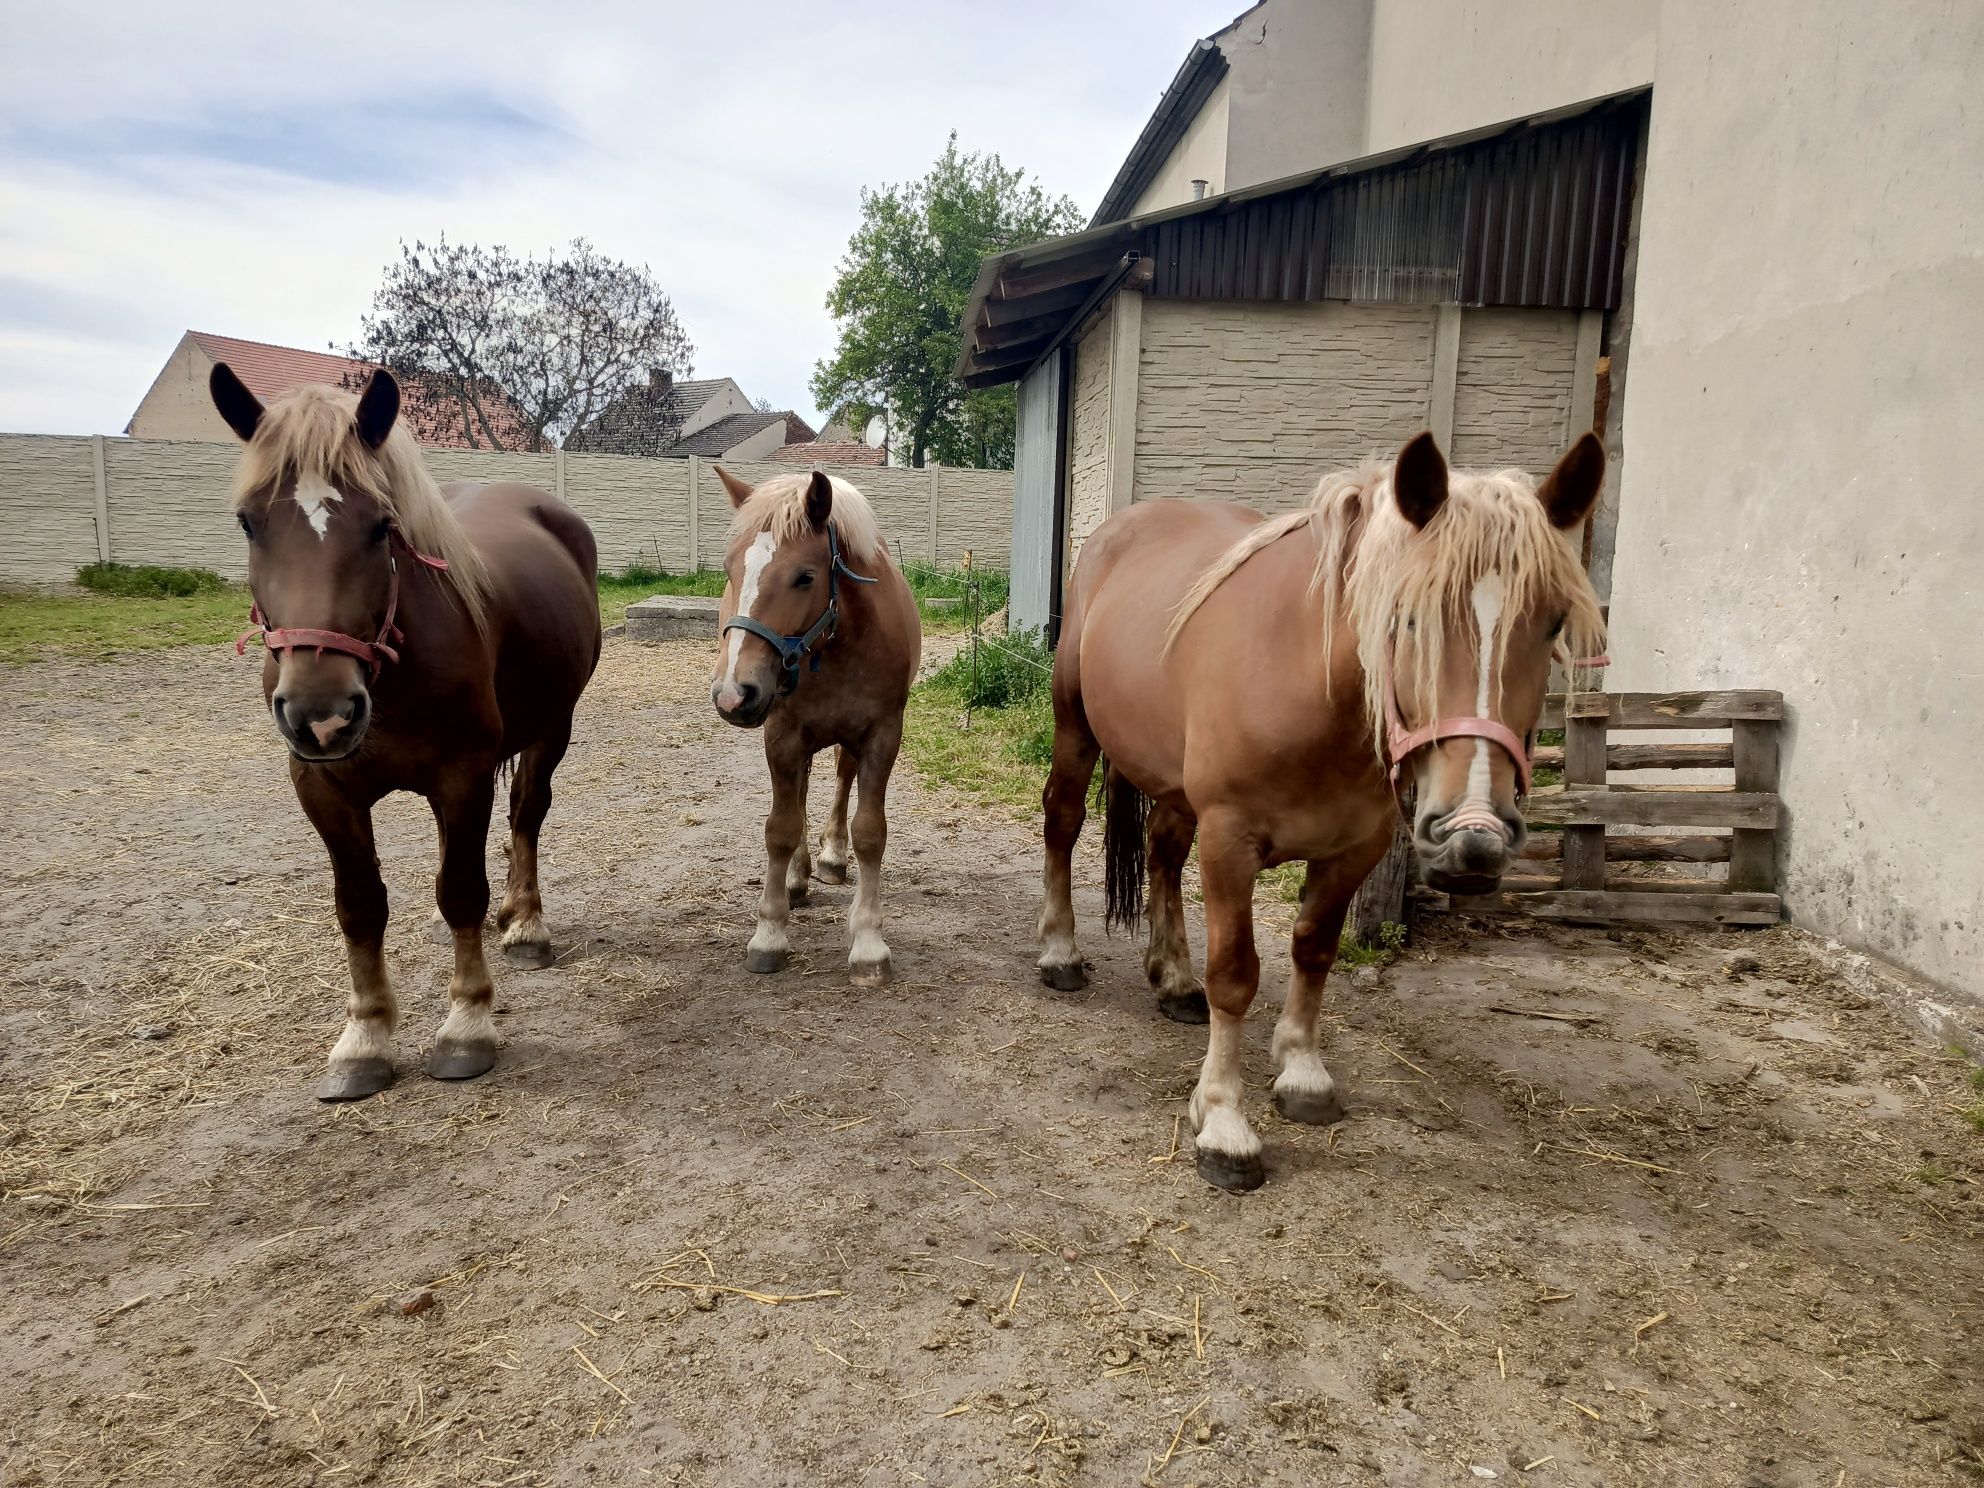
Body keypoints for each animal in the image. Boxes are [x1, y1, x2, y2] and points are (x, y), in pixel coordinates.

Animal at [706, 466, 920, 992]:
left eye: (804, 576)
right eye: (731, 571)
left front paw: (868, 942)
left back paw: (830, 859)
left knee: (841, 782)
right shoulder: (782, 736)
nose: (733, 693)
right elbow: (780, 827)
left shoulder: (882, 735)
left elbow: (870, 831)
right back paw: (797, 879)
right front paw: (769, 934)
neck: (835, 645)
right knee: (800, 795)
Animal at [1039, 428, 1611, 1190]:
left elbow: (1314, 950)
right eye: (1406, 617)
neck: (1311, 689)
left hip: (1176, 789)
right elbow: (1237, 975)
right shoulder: (1230, 841)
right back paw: (1060, 953)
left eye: (1550, 624)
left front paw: (1302, 1074)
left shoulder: (1354, 848)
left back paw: (1175, 979)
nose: (1473, 836)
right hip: (1076, 730)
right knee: (1064, 822)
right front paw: (1225, 1125)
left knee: (1162, 851)